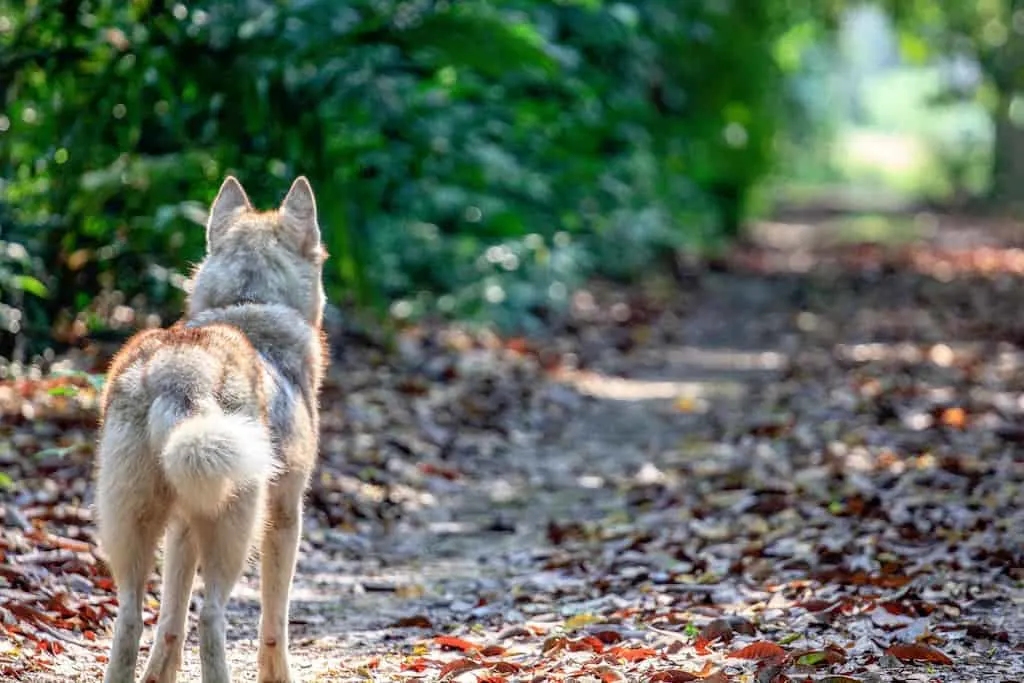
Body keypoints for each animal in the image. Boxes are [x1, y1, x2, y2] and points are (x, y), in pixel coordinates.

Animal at [95, 178, 327, 683]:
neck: (249, 304)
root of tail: (181, 374)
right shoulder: (286, 517)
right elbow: (274, 623)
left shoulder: (183, 526)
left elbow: (170, 623)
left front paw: (158, 676)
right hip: (236, 532)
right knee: (212, 615)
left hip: (133, 527)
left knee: (131, 616)